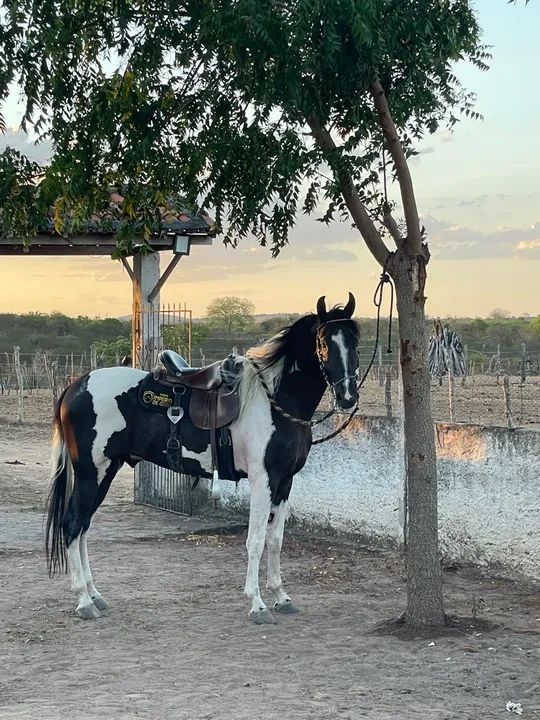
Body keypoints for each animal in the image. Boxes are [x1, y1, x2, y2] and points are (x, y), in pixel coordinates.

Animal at [45, 293, 360, 624]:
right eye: (323, 342)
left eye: (354, 341)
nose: (348, 397)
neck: (274, 402)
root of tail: (77, 385)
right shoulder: (262, 481)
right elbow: (255, 540)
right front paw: (257, 604)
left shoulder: (284, 483)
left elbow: (275, 540)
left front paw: (281, 596)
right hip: (91, 473)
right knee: (72, 524)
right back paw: (83, 600)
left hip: (105, 471)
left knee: (82, 527)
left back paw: (95, 594)